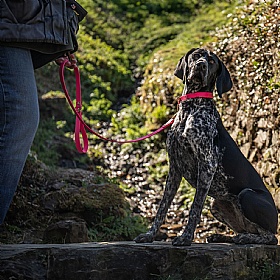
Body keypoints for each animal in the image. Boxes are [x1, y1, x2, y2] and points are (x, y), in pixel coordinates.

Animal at [134, 49, 278, 246]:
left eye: (211, 61)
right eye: (196, 55)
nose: (200, 65)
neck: (190, 109)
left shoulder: (207, 166)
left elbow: (195, 208)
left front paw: (186, 238)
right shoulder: (174, 169)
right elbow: (162, 207)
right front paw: (150, 235)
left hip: (247, 195)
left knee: (270, 237)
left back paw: (245, 238)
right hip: (216, 204)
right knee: (248, 230)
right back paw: (224, 236)